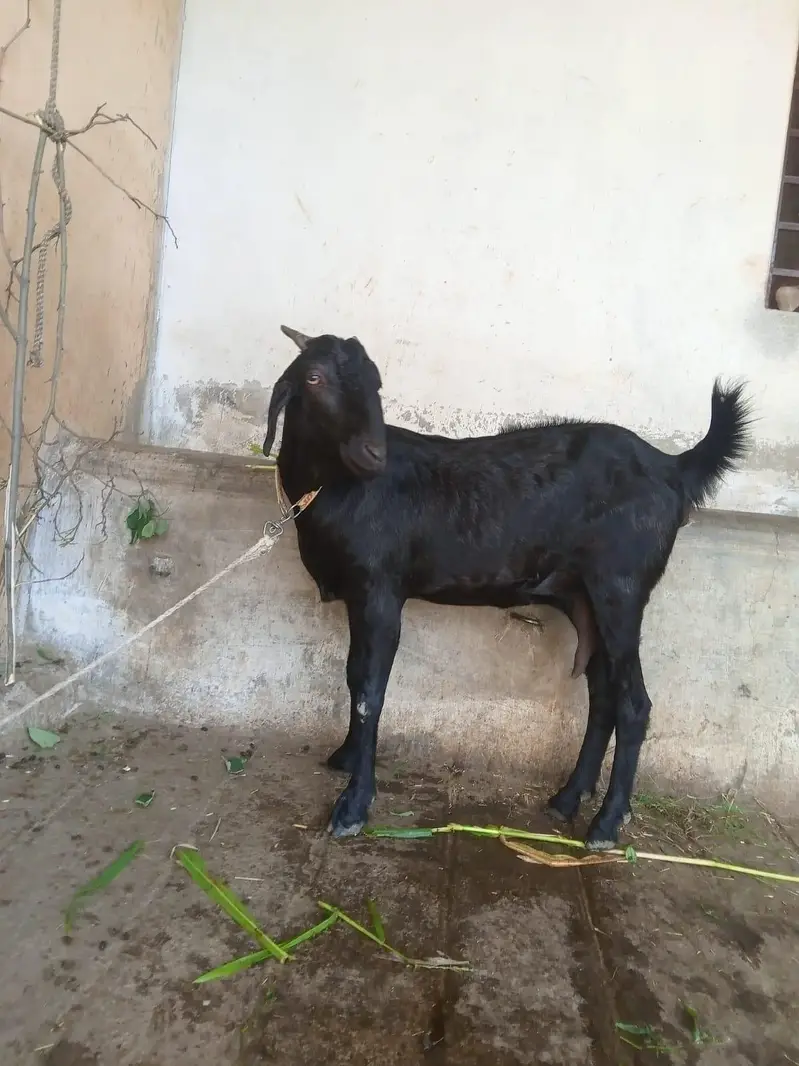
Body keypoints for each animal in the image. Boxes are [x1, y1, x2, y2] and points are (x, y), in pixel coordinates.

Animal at [263, 325, 751, 849]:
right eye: (314, 378)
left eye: (376, 382)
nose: (374, 453)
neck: (333, 487)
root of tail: (672, 467)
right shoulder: (360, 595)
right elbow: (355, 676)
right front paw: (346, 757)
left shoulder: (380, 591)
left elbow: (370, 691)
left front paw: (353, 806)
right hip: (585, 599)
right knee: (604, 698)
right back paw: (566, 799)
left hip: (620, 588)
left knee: (634, 703)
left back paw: (605, 824)